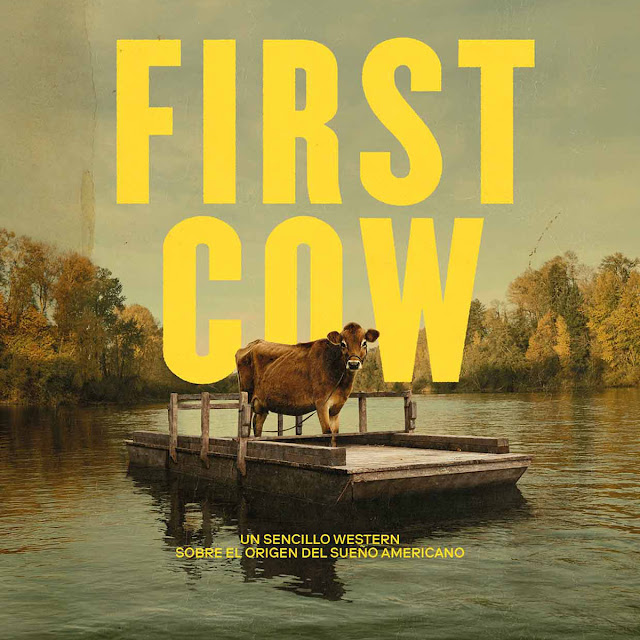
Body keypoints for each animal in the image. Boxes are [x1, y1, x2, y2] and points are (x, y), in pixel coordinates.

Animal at [235, 322, 380, 446]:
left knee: (258, 424)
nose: (353, 364)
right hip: (247, 395)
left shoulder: (336, 407)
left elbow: (335, 435)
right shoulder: (321, 403)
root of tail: (253, 343)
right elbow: (327, 433)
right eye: (343, 344)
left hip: (262, 403)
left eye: (364, 343)